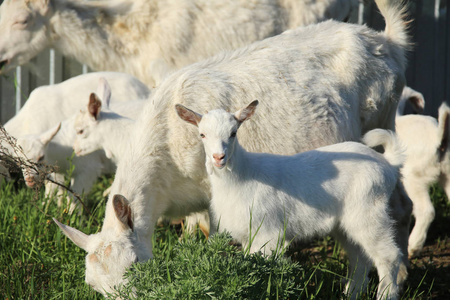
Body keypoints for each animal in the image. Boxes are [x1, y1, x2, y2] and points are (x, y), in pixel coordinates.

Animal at [53, 0, 412, 296]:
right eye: (93, 286)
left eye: (133, 265)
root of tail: (388, 41)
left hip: (383, 114)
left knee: (400, 208)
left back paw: (402, 275)